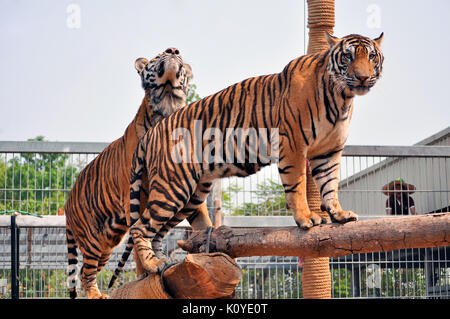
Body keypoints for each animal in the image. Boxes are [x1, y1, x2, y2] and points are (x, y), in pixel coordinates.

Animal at [64, 47, 212, 300]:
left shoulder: (187, 185)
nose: (173, 50)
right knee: (86, 271)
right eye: (160, 54)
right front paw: (148, 271)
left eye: (179, 55)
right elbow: (140, 234)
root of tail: (66, 203)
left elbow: (204, 221)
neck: (167, 105)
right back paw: (96, 295)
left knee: (85, 269)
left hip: (107, 241)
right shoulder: (135, 193)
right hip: (92, 238)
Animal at [122, 33, 384, 278]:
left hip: (192, 195)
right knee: (139, 227)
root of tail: (152, 132)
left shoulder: (328, 151)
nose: (362, 77)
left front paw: (339, 214)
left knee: (157, 232)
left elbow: (330, 185)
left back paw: (162, 264)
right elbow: (298, 186)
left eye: (371, 56)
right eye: (347, 57)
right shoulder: (293, 144)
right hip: (173, 186)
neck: (342, 97)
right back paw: (153, 264)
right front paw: (307, 218)